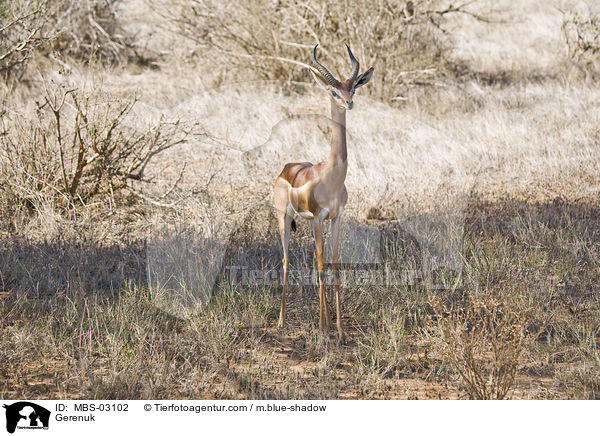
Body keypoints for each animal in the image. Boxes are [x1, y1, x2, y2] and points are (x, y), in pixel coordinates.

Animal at [274, 44, 372, 344]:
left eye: (353, 88)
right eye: (333, 91)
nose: (348, 103)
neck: (332, 176)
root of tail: (287, 168)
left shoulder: (337, 218)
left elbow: (334, 266)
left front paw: (338, 330)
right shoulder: (319, 217)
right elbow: (320, 267)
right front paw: (321, 327)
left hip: (306, 224)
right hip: (283, 219)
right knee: (286, 260)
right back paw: (281, 321)